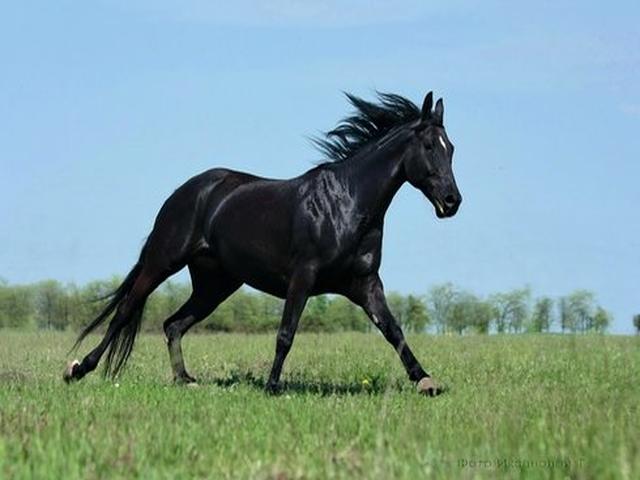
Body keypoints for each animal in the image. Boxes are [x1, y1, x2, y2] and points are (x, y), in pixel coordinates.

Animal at [64, 91, 462, 396]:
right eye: (429, 145)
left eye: (452, 148)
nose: (452, 202)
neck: (346, 204)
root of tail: (187, 191)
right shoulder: (303, 277)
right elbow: (286, 332)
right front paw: (272, 386)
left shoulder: (365, 283)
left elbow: (393, 330)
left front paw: (426, 381)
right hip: (163, 261)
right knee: (125, 311)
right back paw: (78, 369)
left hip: (216, 283)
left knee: (173, 324)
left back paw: (185, 380)